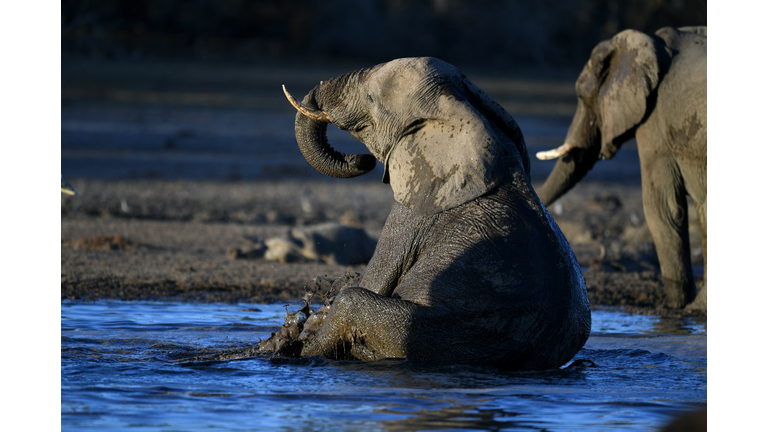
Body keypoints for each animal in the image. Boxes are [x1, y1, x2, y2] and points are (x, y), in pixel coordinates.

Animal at [280, 55, 592, 370]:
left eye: (371, 98)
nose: (362, 160)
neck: (461, 110)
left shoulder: (415, 208)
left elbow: (376, 279)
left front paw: (298, 338)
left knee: (352, 301)